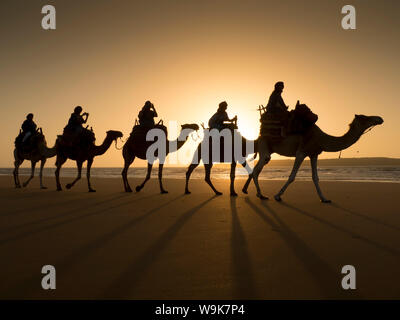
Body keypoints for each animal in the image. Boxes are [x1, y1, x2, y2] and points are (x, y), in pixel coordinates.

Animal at [242, 113, 382, 202]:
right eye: (364, 117)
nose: (380, 118)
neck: (321, 138)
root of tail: (258, 137)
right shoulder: (301, 152)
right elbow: (292, 176)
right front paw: (277, 196)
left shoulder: (314, 154)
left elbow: (315, 177)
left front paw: (324, 199)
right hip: (264, 148)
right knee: (256, 171)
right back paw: (261, 194)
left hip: (268, 151)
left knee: (256, 170)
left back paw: (251, 192)